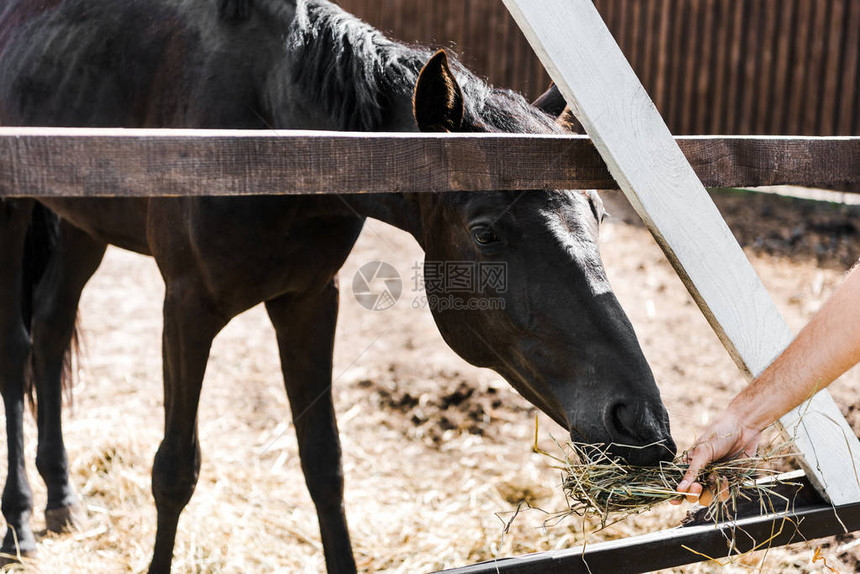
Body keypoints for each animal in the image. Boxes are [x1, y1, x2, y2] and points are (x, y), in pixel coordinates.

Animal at [0, 0, 676, 572]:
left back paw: (61, 497)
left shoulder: (307, 300)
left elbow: (324, 463)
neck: (275, 135)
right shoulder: (187, 308)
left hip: (82, 225)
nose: (639, 423)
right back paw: (22, 520)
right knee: (18, 351)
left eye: (599, 213)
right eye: (485, 234)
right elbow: (175, 470)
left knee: (52, 332)